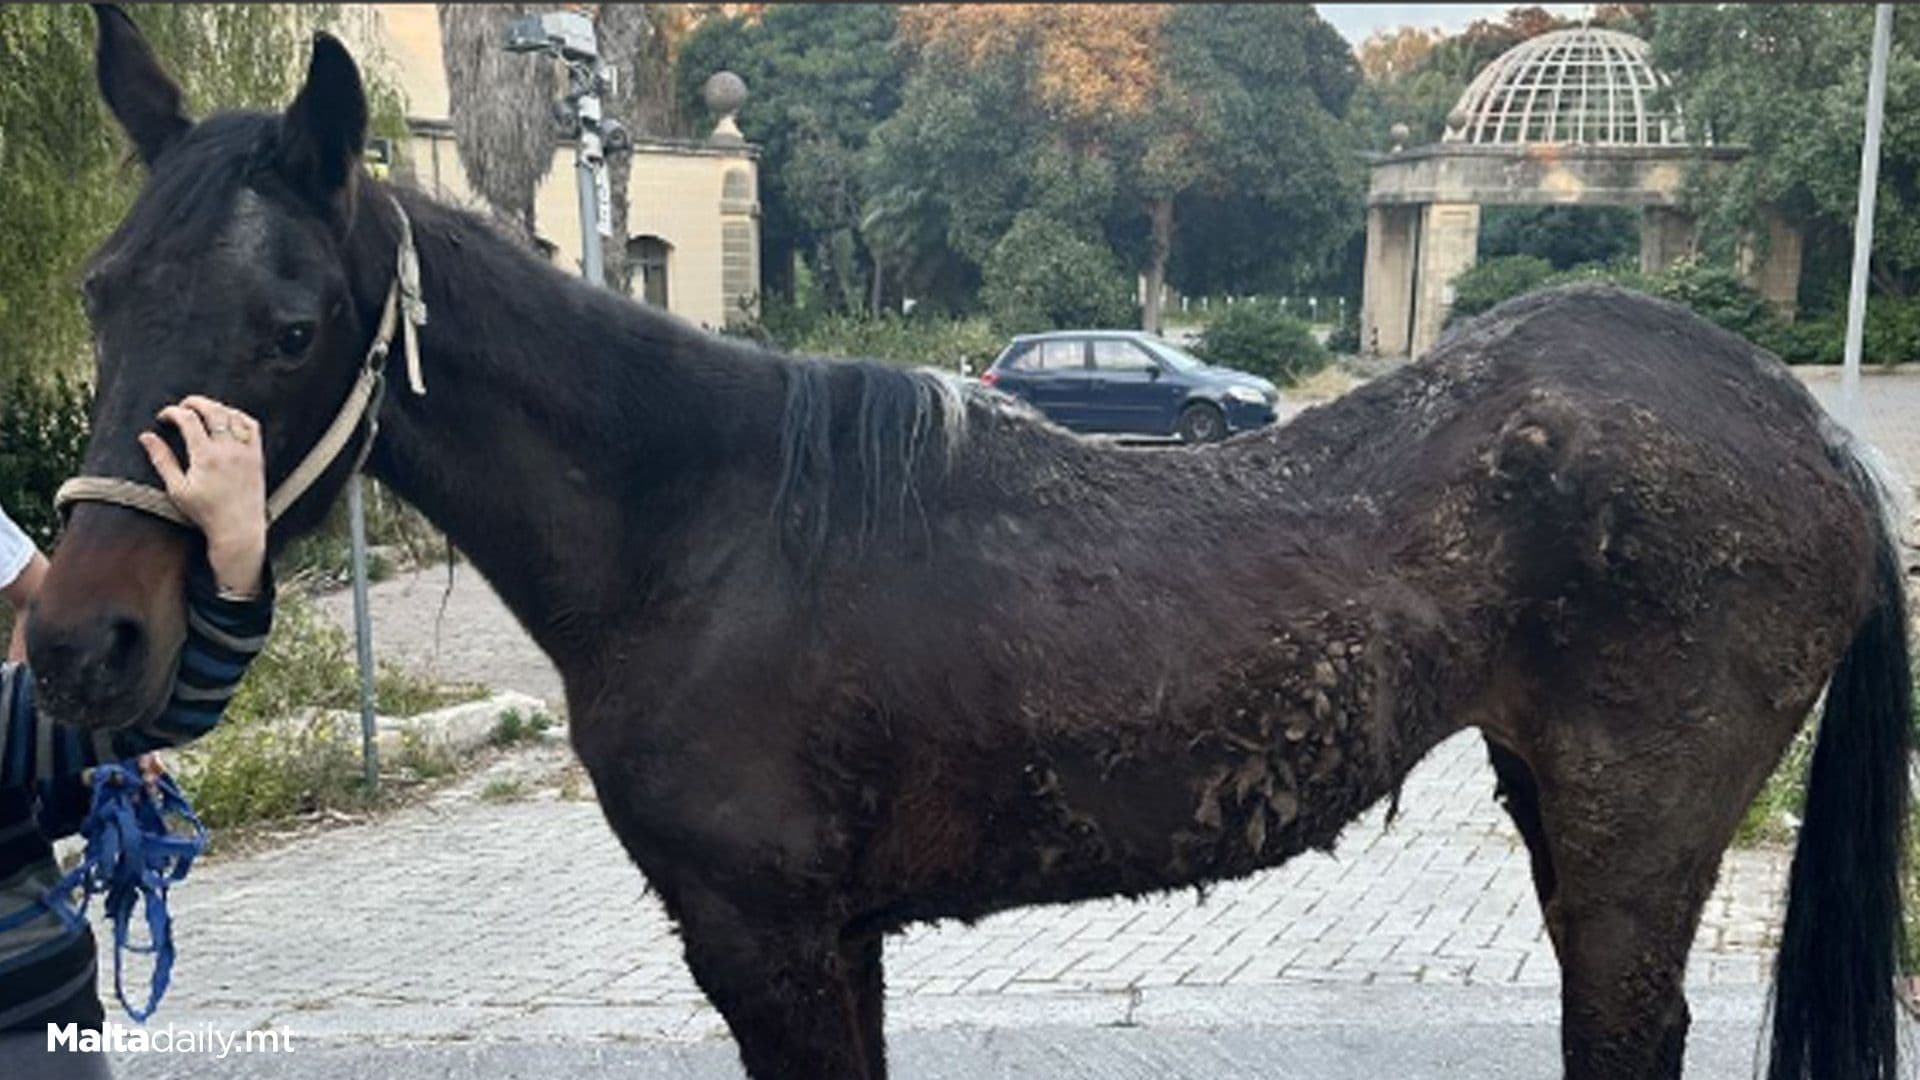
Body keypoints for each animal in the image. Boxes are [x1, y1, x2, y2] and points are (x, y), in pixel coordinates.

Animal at [29, 11, 1910, 1079]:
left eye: (287, 328)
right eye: (100, 292)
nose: (77, 641)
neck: (705, 533)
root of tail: (1808, 432)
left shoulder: (772, 939)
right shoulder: (824, 942)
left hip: (1630, 836)